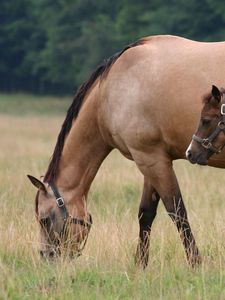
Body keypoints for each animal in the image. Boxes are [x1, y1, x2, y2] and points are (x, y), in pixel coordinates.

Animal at [28, 35, 225, 268]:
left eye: (44, 219)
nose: (47, 256)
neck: (111, 92)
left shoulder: (149, 158)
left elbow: (177, 212)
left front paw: (195, 262)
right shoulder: (153, 158)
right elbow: (146, 213)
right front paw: (140, 264)